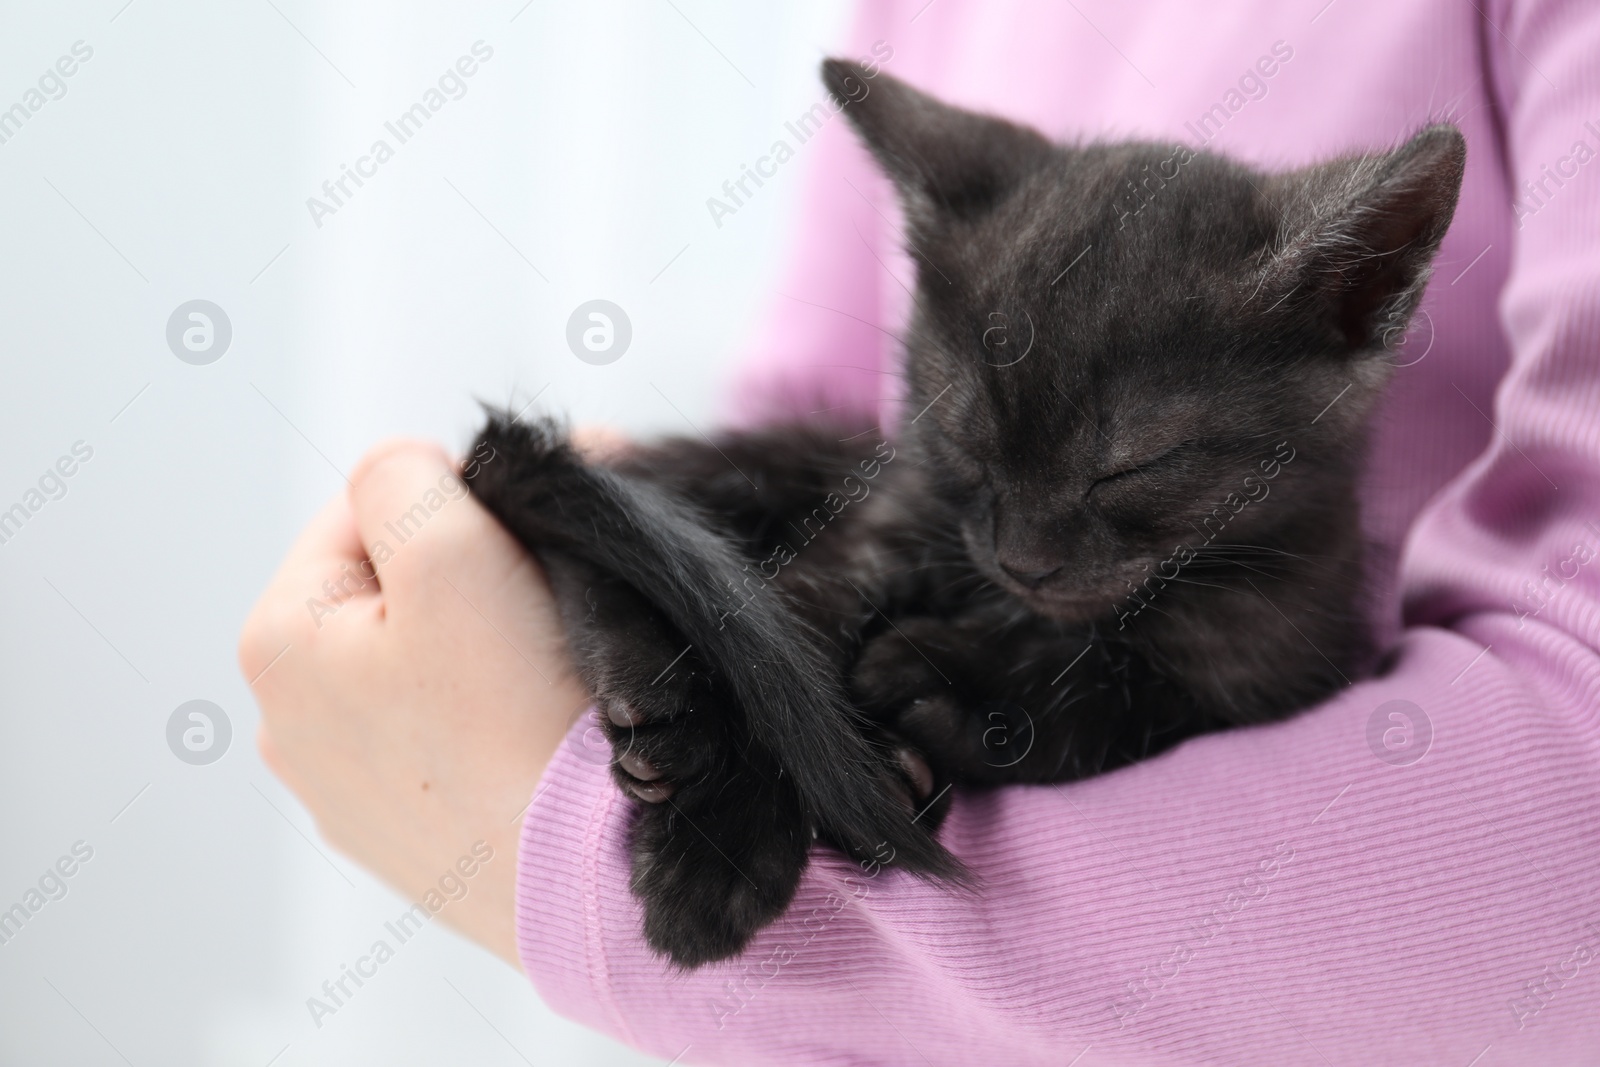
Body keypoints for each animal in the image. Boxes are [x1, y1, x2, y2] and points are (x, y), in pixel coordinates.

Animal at [464, 62, 1465, 972]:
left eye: (1131, 469)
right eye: (963, 438)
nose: (1022, 560)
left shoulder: (1267, 668)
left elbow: (1108, 700)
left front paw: (933, 687)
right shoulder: (883, 524)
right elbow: (790, 646)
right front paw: (716, 854)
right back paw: (663, 700)